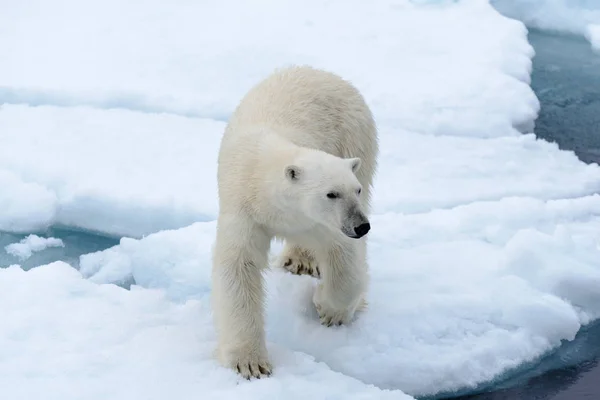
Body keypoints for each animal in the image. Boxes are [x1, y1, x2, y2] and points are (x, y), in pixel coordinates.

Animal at [213, 65, 378, 378]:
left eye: (355, 191)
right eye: (331, 193)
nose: (361, 226)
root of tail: (323, 72)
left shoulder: (321, 222)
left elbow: (344, 257)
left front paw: (328, 308)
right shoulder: (245, 211)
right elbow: (239, 266)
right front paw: (250, 362)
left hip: (355, 136)